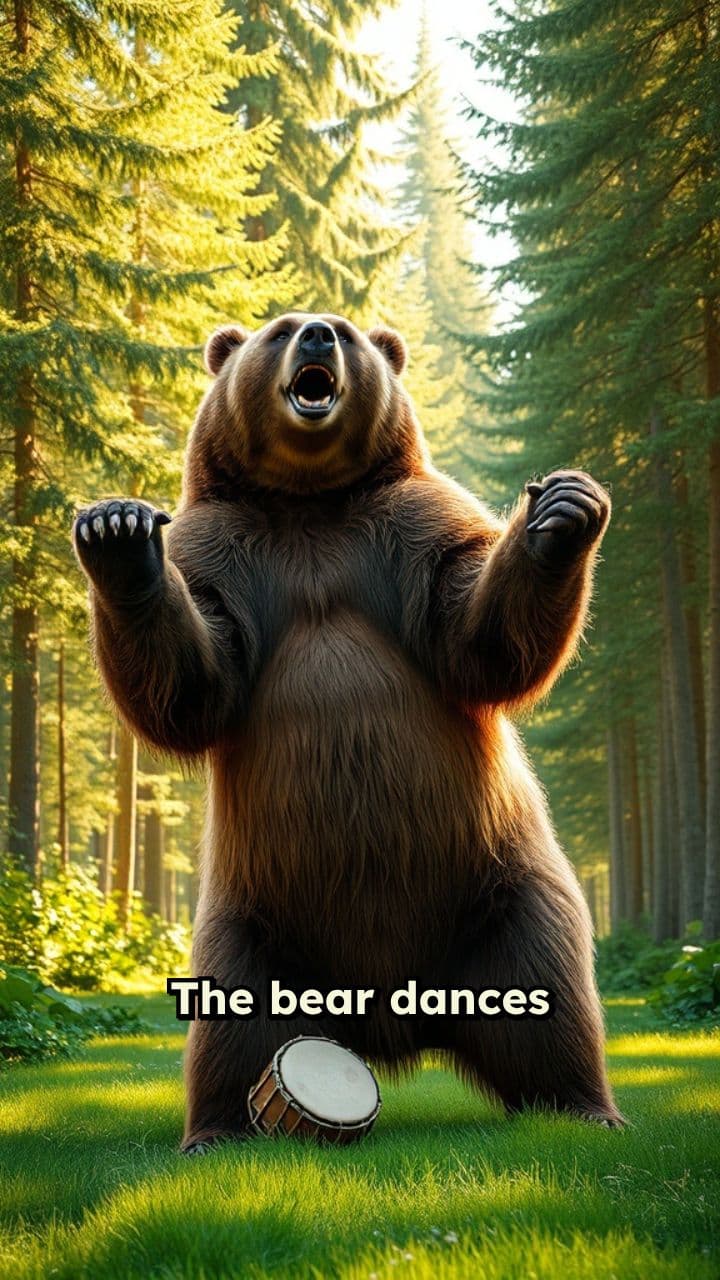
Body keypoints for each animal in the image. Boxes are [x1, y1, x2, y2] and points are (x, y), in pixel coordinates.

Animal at [73, 311, 623, 1151]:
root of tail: (388, 1026)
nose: (318, 339)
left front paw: (561, 510)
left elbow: (477, 635)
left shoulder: (410, 529)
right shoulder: (223, 554)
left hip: (496, 886)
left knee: (547, 991)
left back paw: (583, 1106)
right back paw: (216, 1130)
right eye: (280, 330)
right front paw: (119, 530)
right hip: (255, 918)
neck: (311, 501)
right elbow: (194, 682)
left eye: (342, 331)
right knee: (233, 1024)